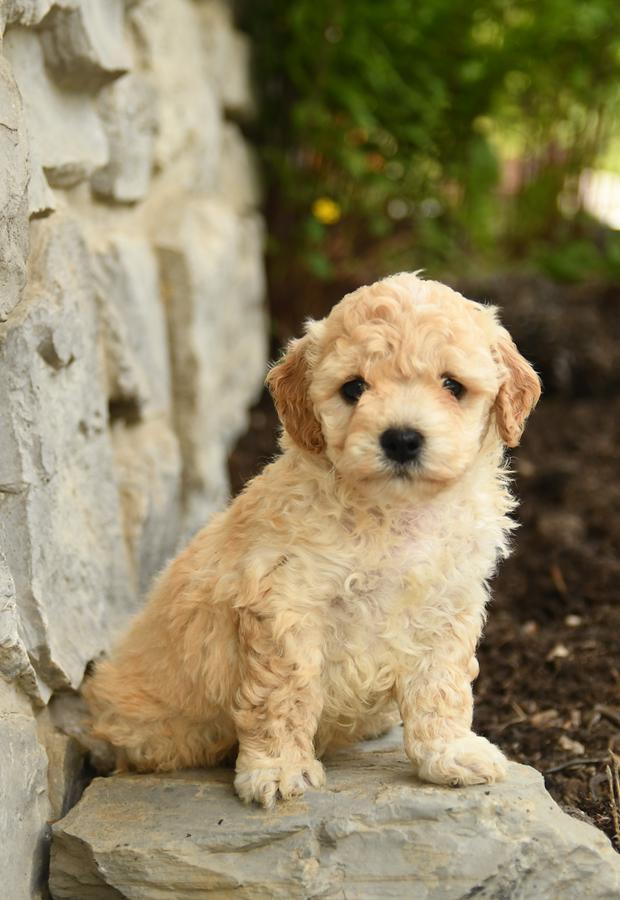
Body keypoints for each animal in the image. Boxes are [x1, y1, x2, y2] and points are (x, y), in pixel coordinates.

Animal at [85, 272, 540, 808]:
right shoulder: (285, 606)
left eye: (453, 385)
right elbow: (284, 694)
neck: (394, 512)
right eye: (354, 388)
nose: (402, 439)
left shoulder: (446, 605)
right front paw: (278, 769)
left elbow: (441, 686)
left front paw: (449, 753)